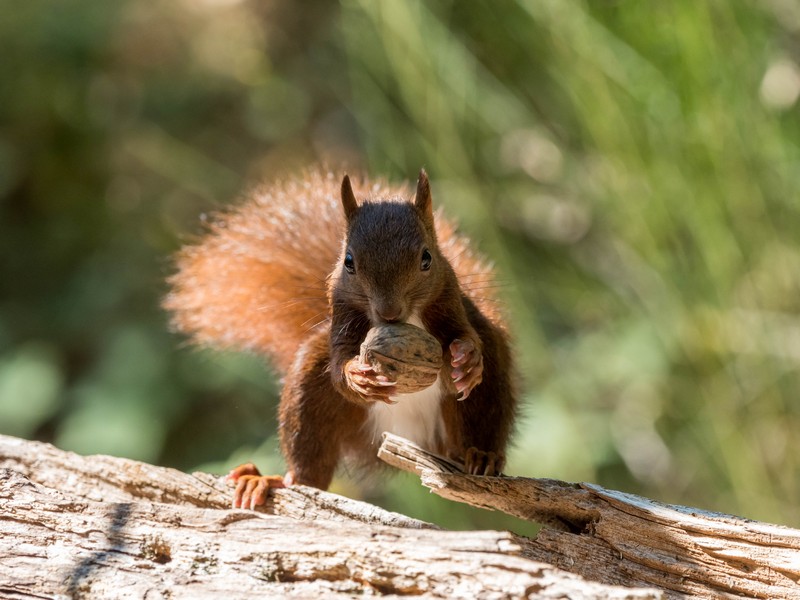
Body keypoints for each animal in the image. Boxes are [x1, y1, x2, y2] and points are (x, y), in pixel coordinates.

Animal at [165, 168, 518, 509]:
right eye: (349, 261)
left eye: (427, 258)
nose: (389, 312)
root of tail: (411, 433)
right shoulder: (341, 320)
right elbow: (338, 370)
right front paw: (357, 376)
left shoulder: (451, 299)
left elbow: (464, 334)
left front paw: (466, 360)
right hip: (310, 392)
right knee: (310, 472)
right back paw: (268, 480)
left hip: (486, 391)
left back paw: (481, 455)